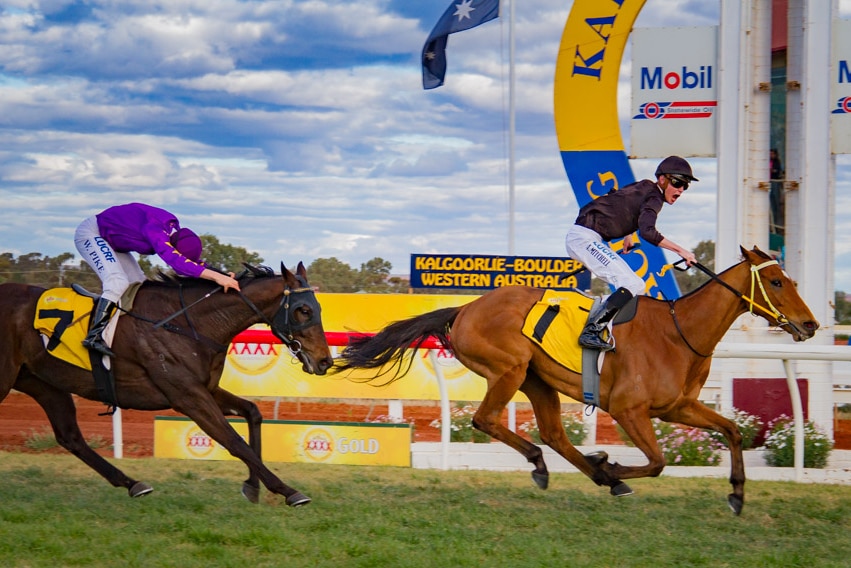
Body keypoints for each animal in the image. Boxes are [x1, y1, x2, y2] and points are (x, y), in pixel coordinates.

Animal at [0, 262, 332, 506]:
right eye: (303, 310)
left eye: (318, 308)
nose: (325, 361)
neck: (188, 324)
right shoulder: (187, 397)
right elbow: (233, 441)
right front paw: (287, 490)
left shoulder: (205, 389)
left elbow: (252, 412)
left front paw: (252, 485)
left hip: (43, 382)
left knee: (70, 437)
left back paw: (133, 484)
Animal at [338, 247, 820, 516]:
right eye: (775, 281)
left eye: (792, 279)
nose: (810, 325)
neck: (679, 332)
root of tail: (465, 308)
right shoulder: (628, 409)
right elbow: (658, 461)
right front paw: (616, 466)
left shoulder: (678, 407)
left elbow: (733, 431)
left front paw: (737, 495)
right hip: (510, 369)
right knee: (487, 420)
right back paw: (564, 467)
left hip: (537, 379)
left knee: (553, 432)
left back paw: (592, 471)